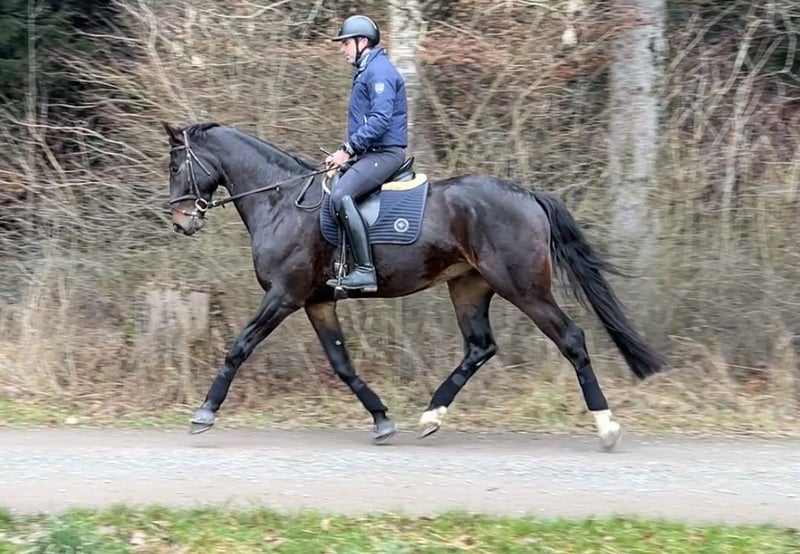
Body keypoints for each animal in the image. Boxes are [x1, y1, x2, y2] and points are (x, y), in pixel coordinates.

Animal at [162, 121, 665, 450]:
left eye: (175, 165)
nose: (181, 222)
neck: (281, 201)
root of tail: (527, 195)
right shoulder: (318, 302)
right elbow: (342, 363)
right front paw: (382, 419)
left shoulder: (284, 296)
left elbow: (239, 347)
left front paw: (204, 414)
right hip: (469, 288)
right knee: (480, 347)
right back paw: (431, 415)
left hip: (524, 288)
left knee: (571, 339)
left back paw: (606, 427)